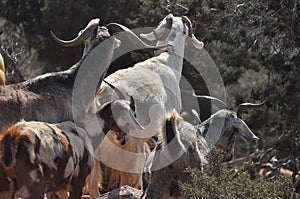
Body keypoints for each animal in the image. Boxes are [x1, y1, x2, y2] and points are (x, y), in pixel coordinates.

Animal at [0, 93, 144, 199]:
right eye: (132, 115)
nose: (124, 140)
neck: (87, 131)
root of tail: (12, 137)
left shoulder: (57, 187)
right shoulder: (77, 181)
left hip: (8, 188)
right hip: (33, 186)